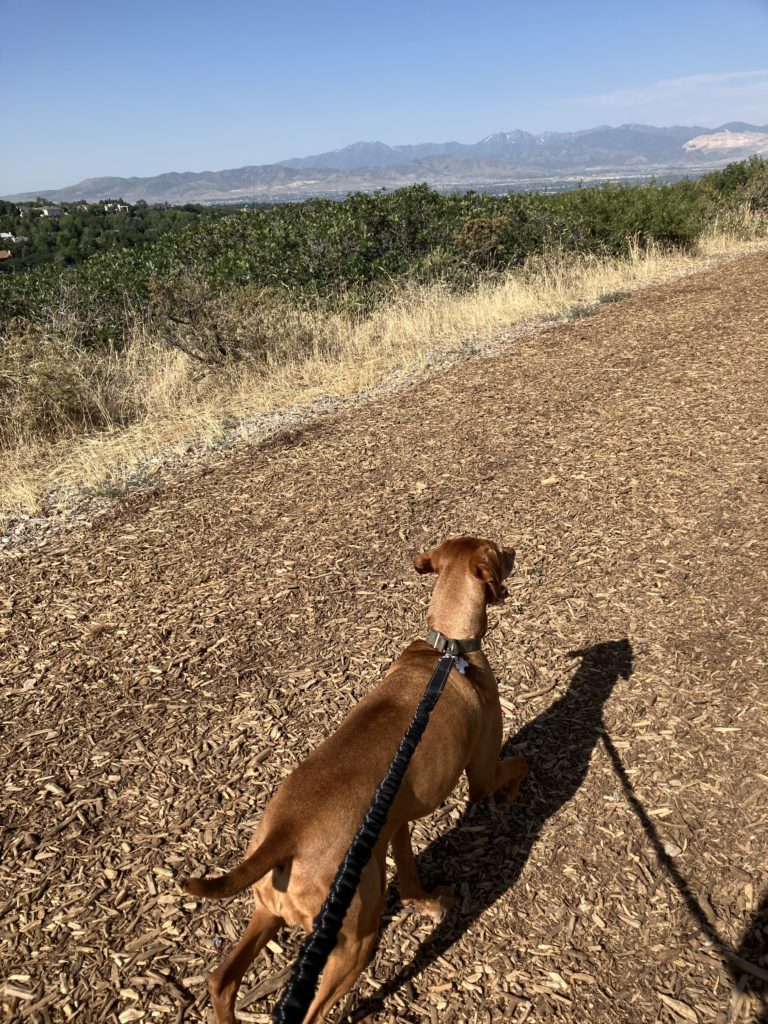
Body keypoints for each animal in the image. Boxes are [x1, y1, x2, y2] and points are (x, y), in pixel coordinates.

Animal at [186, 536, 528, 1024]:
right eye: (498, 551)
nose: (515, 550)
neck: (449, 649)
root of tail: (287, 833)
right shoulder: (481, 772)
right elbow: (519, 763)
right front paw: (509, 799)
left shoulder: (393, 823)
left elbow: (409, 874)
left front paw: (425, 902)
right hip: (354, 941)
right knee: (311, 1011)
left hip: (268, 909)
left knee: (221, 981)